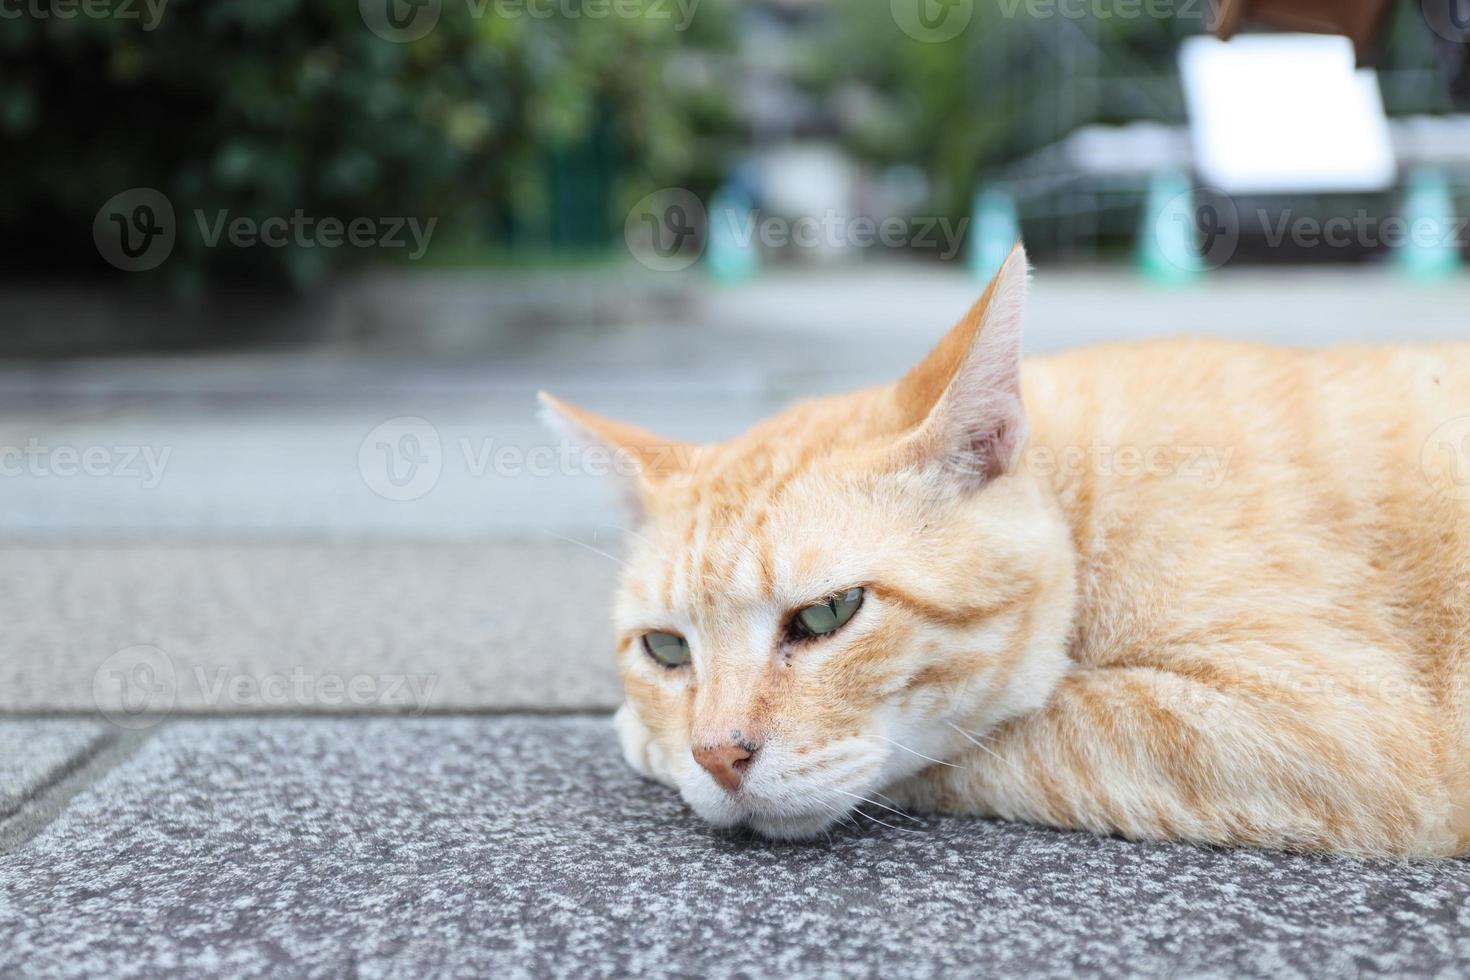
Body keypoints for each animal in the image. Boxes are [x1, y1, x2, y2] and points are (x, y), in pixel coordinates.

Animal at [543, 246, 1470, 858]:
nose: (713, 755)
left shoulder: (1339, 725)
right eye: (667, 649)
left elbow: (1004, 738)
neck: (1084, 499)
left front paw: (647, 741)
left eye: (828, 614)